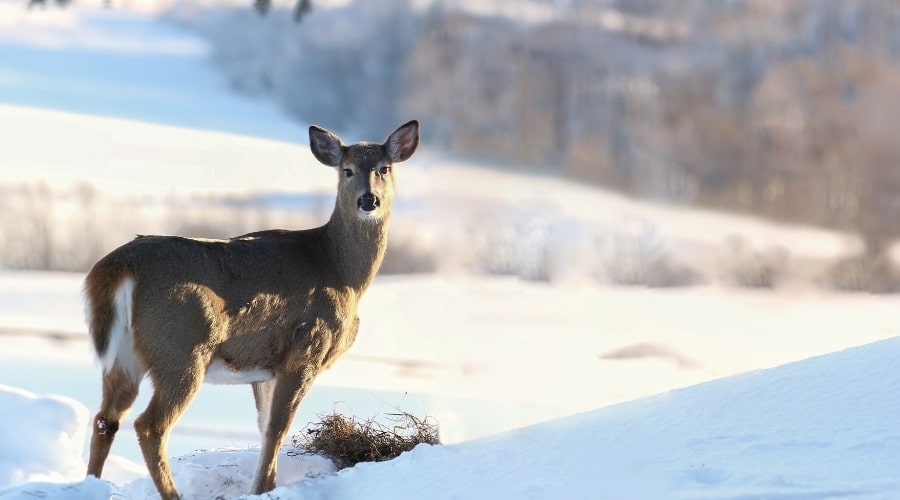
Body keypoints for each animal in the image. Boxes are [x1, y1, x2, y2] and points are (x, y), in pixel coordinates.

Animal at [82, 119, 420, 498]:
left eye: (384, 168)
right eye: (346, 170)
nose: (368, 200)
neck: (340, 271)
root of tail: (120, 265)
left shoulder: (263, 369)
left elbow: (262, 426)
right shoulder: (304, 349)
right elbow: (277, 428)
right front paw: (264, 489)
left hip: (123, 356)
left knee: (105, 419)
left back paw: (90, 485)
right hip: (180, 349)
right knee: (149, 425)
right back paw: (172, 493)